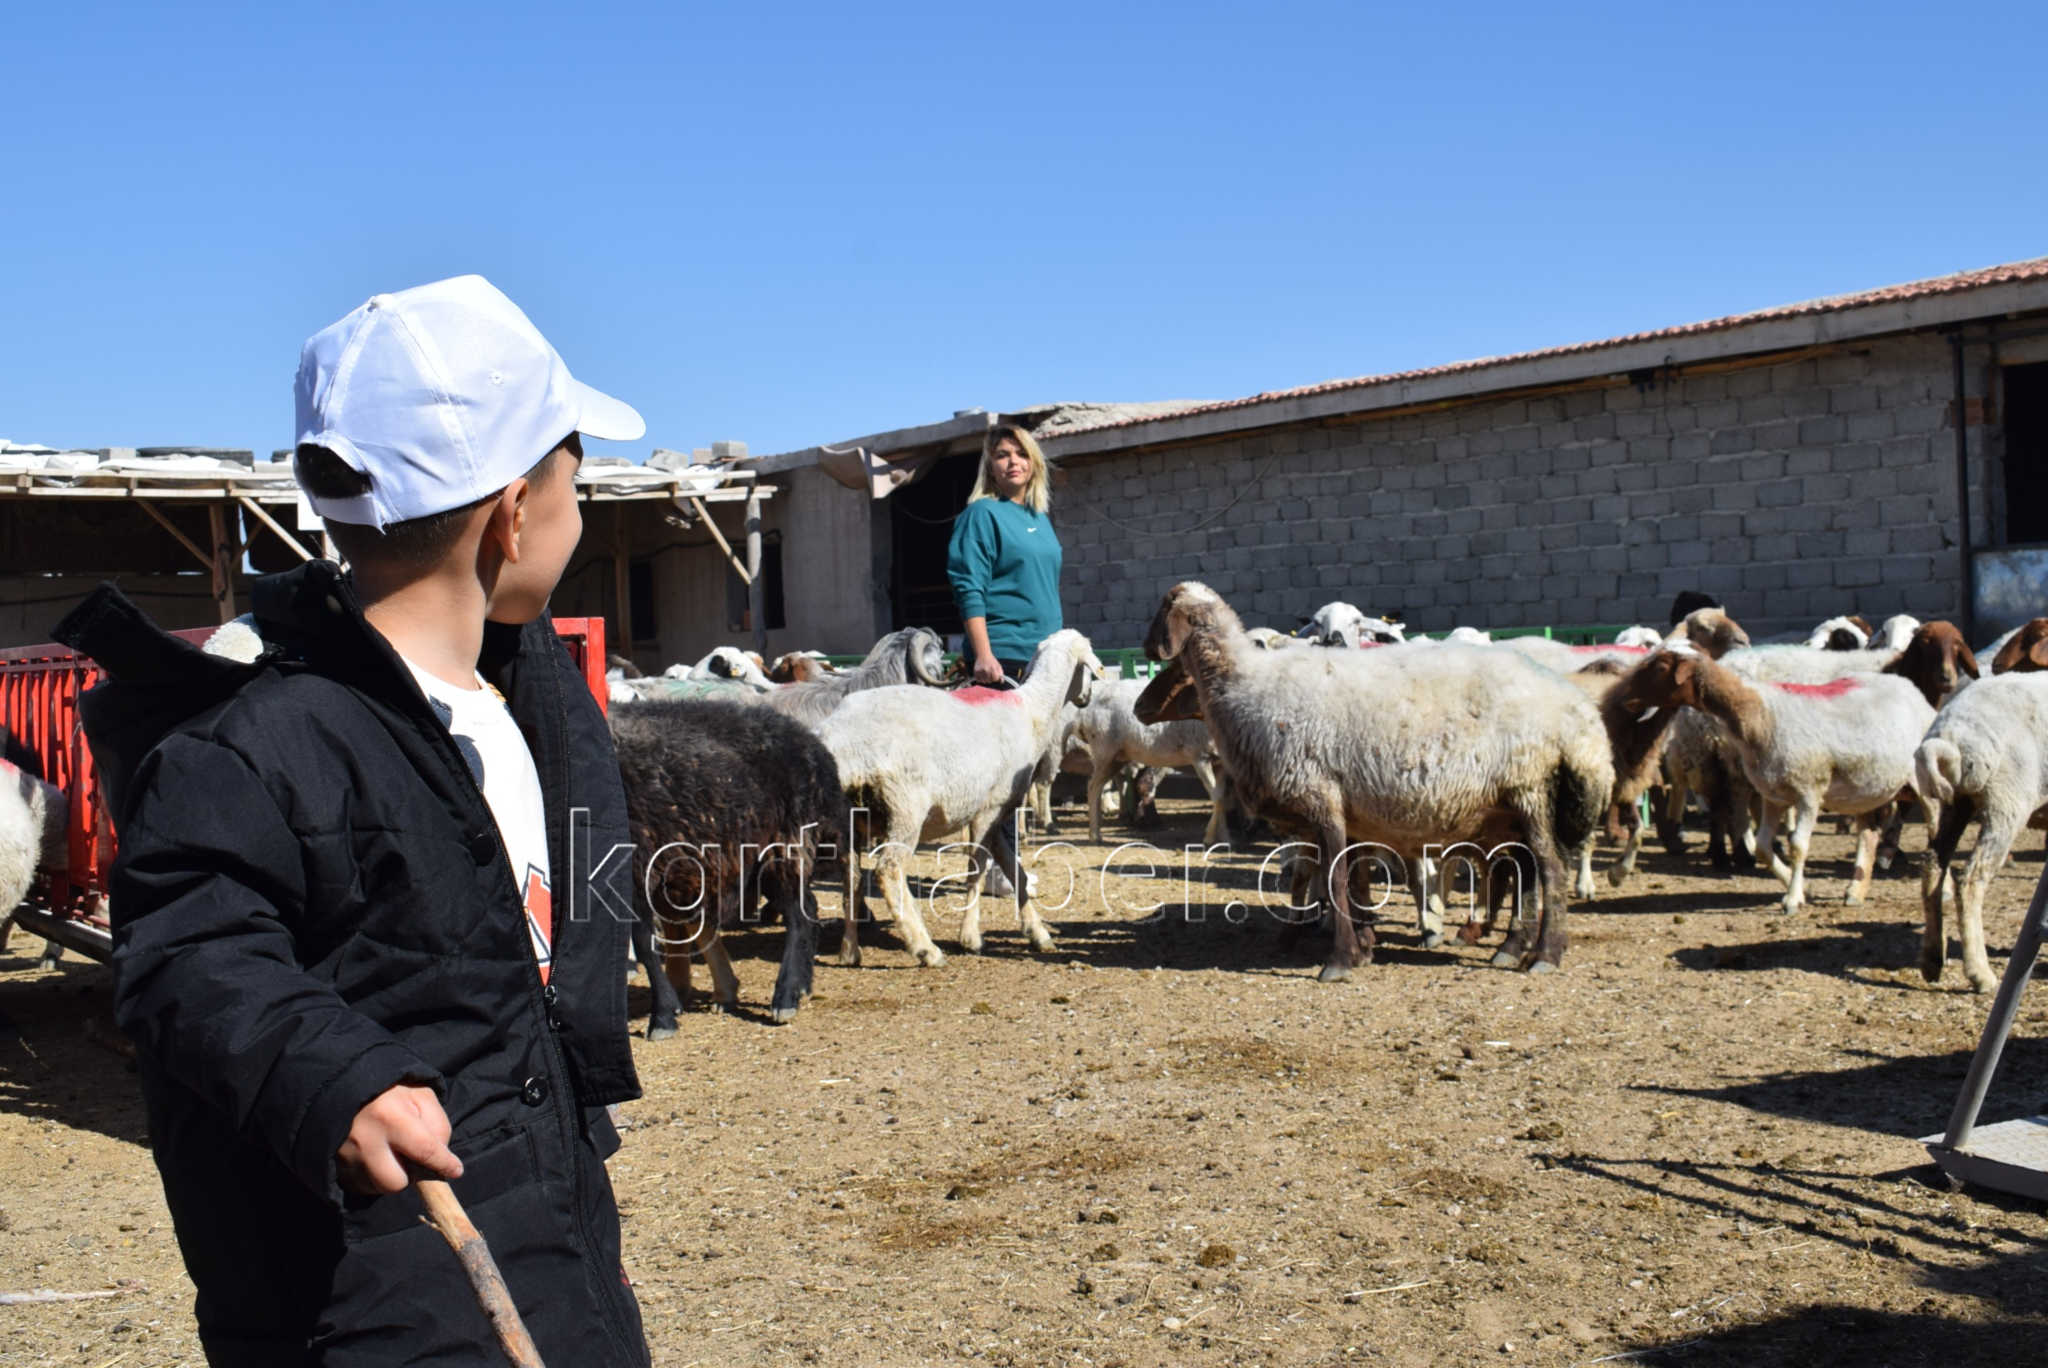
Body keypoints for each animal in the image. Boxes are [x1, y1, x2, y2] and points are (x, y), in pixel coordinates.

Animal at [614, 700, 856, 1032]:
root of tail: (811, 742)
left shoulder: (635, 866)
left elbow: (643, 942)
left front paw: (662, 1017)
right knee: (808, 906)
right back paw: (801, 986)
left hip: (786, 842)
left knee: (799, 913)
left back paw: (785, 997)